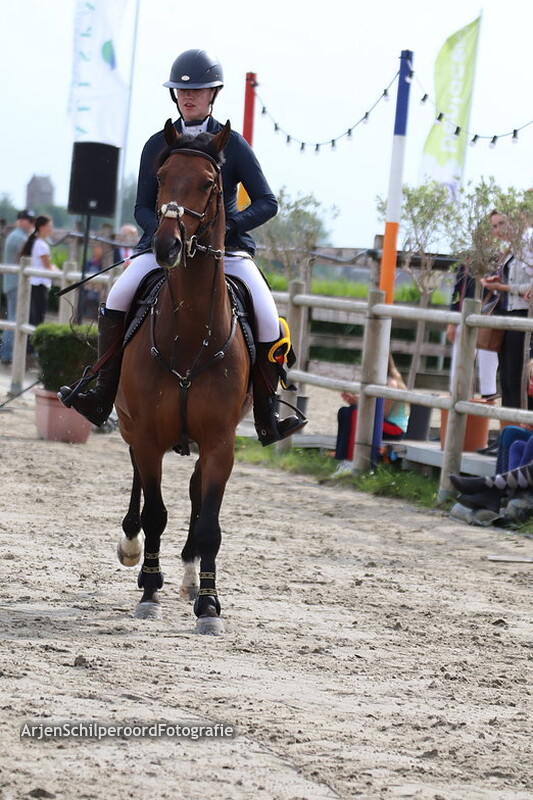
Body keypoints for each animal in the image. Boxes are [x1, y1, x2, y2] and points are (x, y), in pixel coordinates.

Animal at [114, 120, 250, 634]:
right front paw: (150, 591)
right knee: (139, 479)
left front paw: (209, 604)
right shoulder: (148, 432)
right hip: (131, 425)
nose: (166, 245)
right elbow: (156, 512)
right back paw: (132, 549)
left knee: (194, 494)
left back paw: (192, 577)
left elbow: (209, 521)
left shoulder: (220, 442)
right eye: (160, 177)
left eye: (210, 184)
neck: (191, 334)